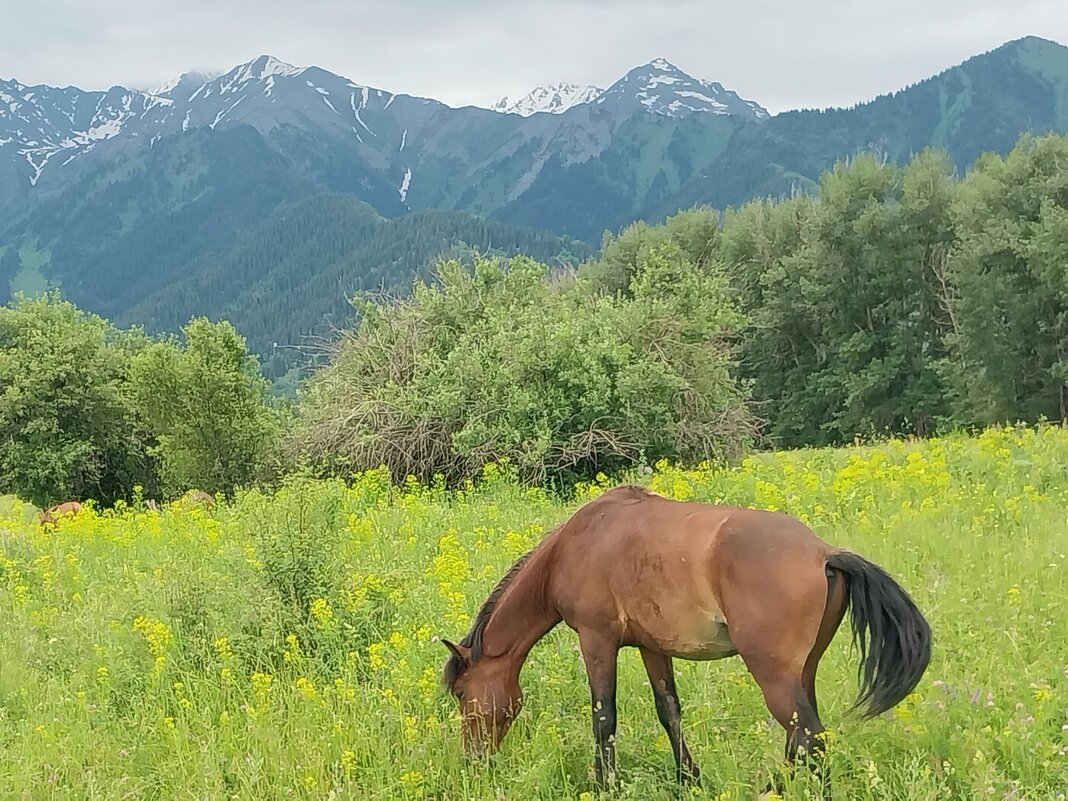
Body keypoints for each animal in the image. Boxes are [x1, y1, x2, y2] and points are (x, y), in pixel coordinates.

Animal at [437, 487, 931, 794]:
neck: (574, 546)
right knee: (802, 735)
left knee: (809, 737)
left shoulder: (597, 641)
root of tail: (824, 554)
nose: (473, 762)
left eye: (461, 693)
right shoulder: (652, 647)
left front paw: (604, 784)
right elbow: (669, 711)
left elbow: (603, 717)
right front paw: (688, 778)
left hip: (771, 673)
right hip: (799, 672)